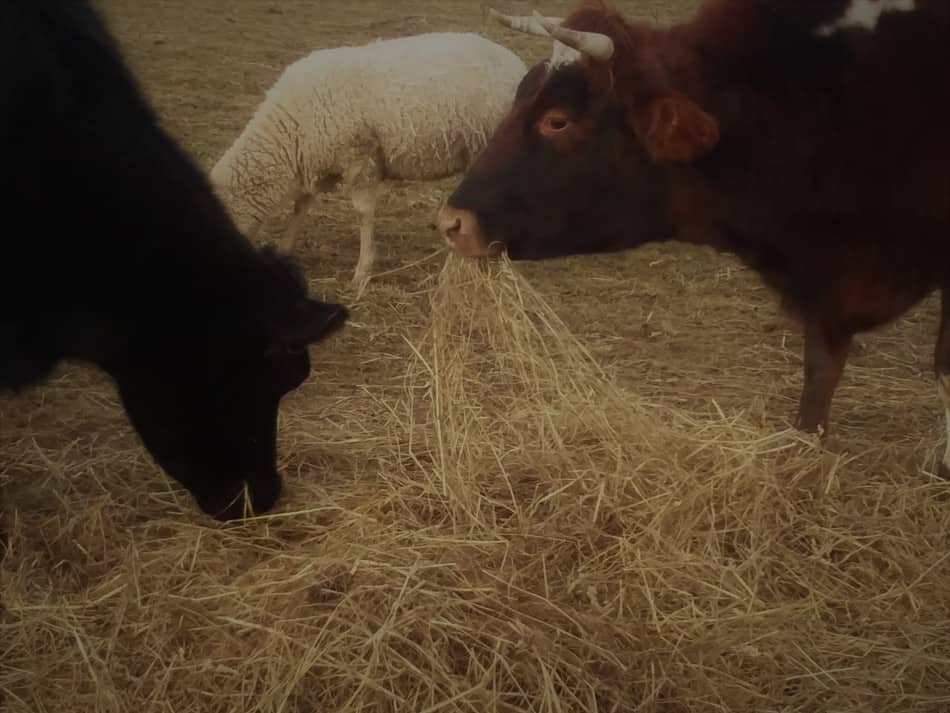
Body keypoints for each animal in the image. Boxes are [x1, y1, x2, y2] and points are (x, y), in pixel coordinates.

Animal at [210, 33, 528, 292]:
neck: (289, 132)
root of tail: (518, 65)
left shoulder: (359, 157)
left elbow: (363, 213)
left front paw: (362, 272)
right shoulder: (317, 161)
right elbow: (301, 205)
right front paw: (285, 249)